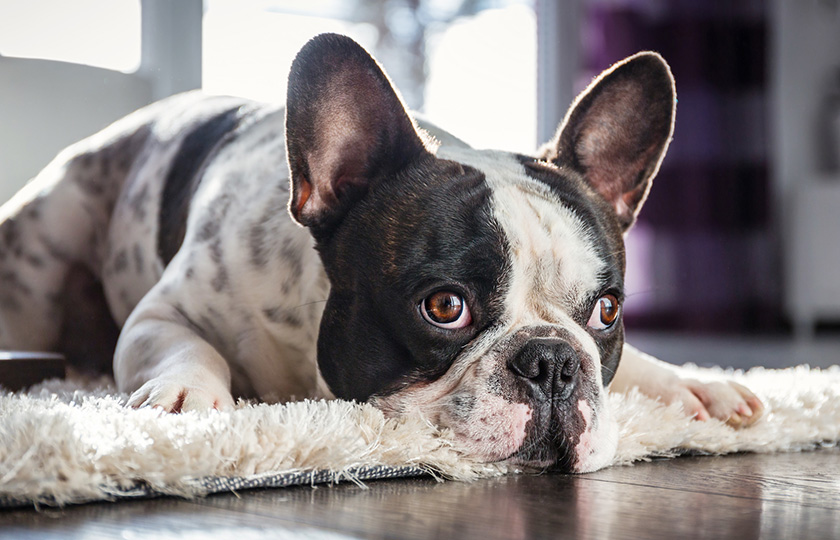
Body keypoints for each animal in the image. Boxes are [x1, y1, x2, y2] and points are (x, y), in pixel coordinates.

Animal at [0, 34, 760, 472]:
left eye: (606, 312)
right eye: (444, 307)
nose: (551, 363)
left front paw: (692, 384)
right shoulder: (161, 314)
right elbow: (186, 348)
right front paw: (190, 399)